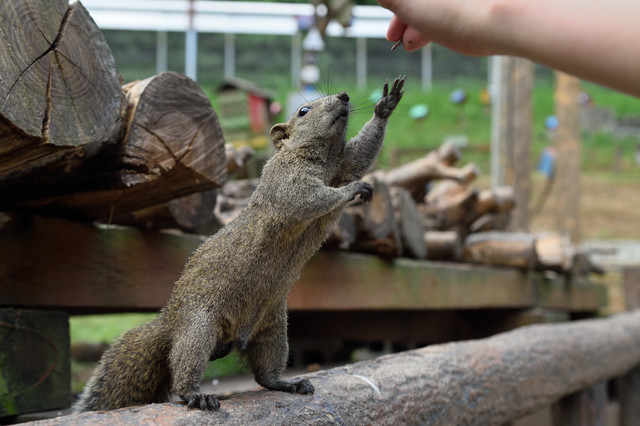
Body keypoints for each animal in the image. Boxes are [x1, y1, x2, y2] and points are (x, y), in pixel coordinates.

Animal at [72, 76, 402, 412]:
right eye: (303, 111)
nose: (344, 96)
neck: (322, 158)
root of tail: (170, 324)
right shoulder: (285, 183)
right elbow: (307, 199)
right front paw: (353, 189)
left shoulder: (342, 164)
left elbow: (360, 154)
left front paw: (385, 106)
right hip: (199, 328)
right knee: (184, 366)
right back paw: (195, 395)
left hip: (272, 327)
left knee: (264, 374)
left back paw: (286, 383)